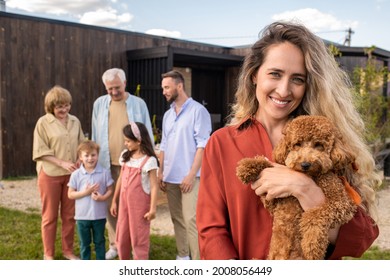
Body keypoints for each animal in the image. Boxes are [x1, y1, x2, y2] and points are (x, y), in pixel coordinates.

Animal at [236, 115, 358, 260]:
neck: (311, 175)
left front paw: (312, 244)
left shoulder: (342, 202)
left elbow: (315, 214)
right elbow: (268, 164)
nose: (305, 164)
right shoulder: (274, 203)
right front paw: (248, 166)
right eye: (297, 144)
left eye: (319, 145)